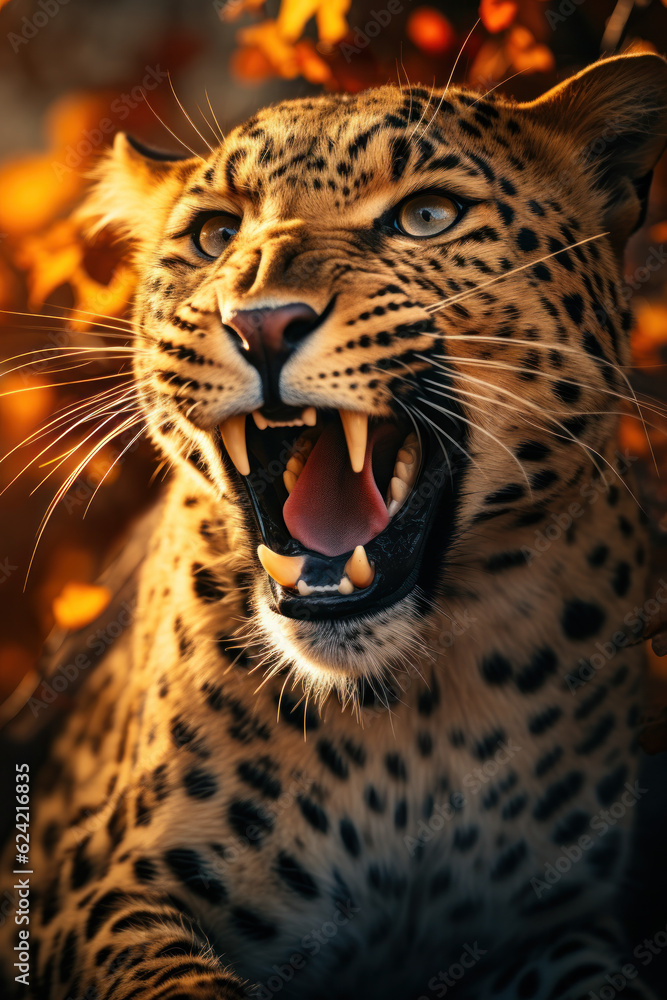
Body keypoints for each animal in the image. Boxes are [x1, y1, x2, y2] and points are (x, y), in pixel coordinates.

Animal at [1, 50, 667, 1000]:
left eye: (427, 216)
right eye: (214, 236)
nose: (262, 323)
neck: (407, 709)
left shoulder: (551, 922)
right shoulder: (104, 885)